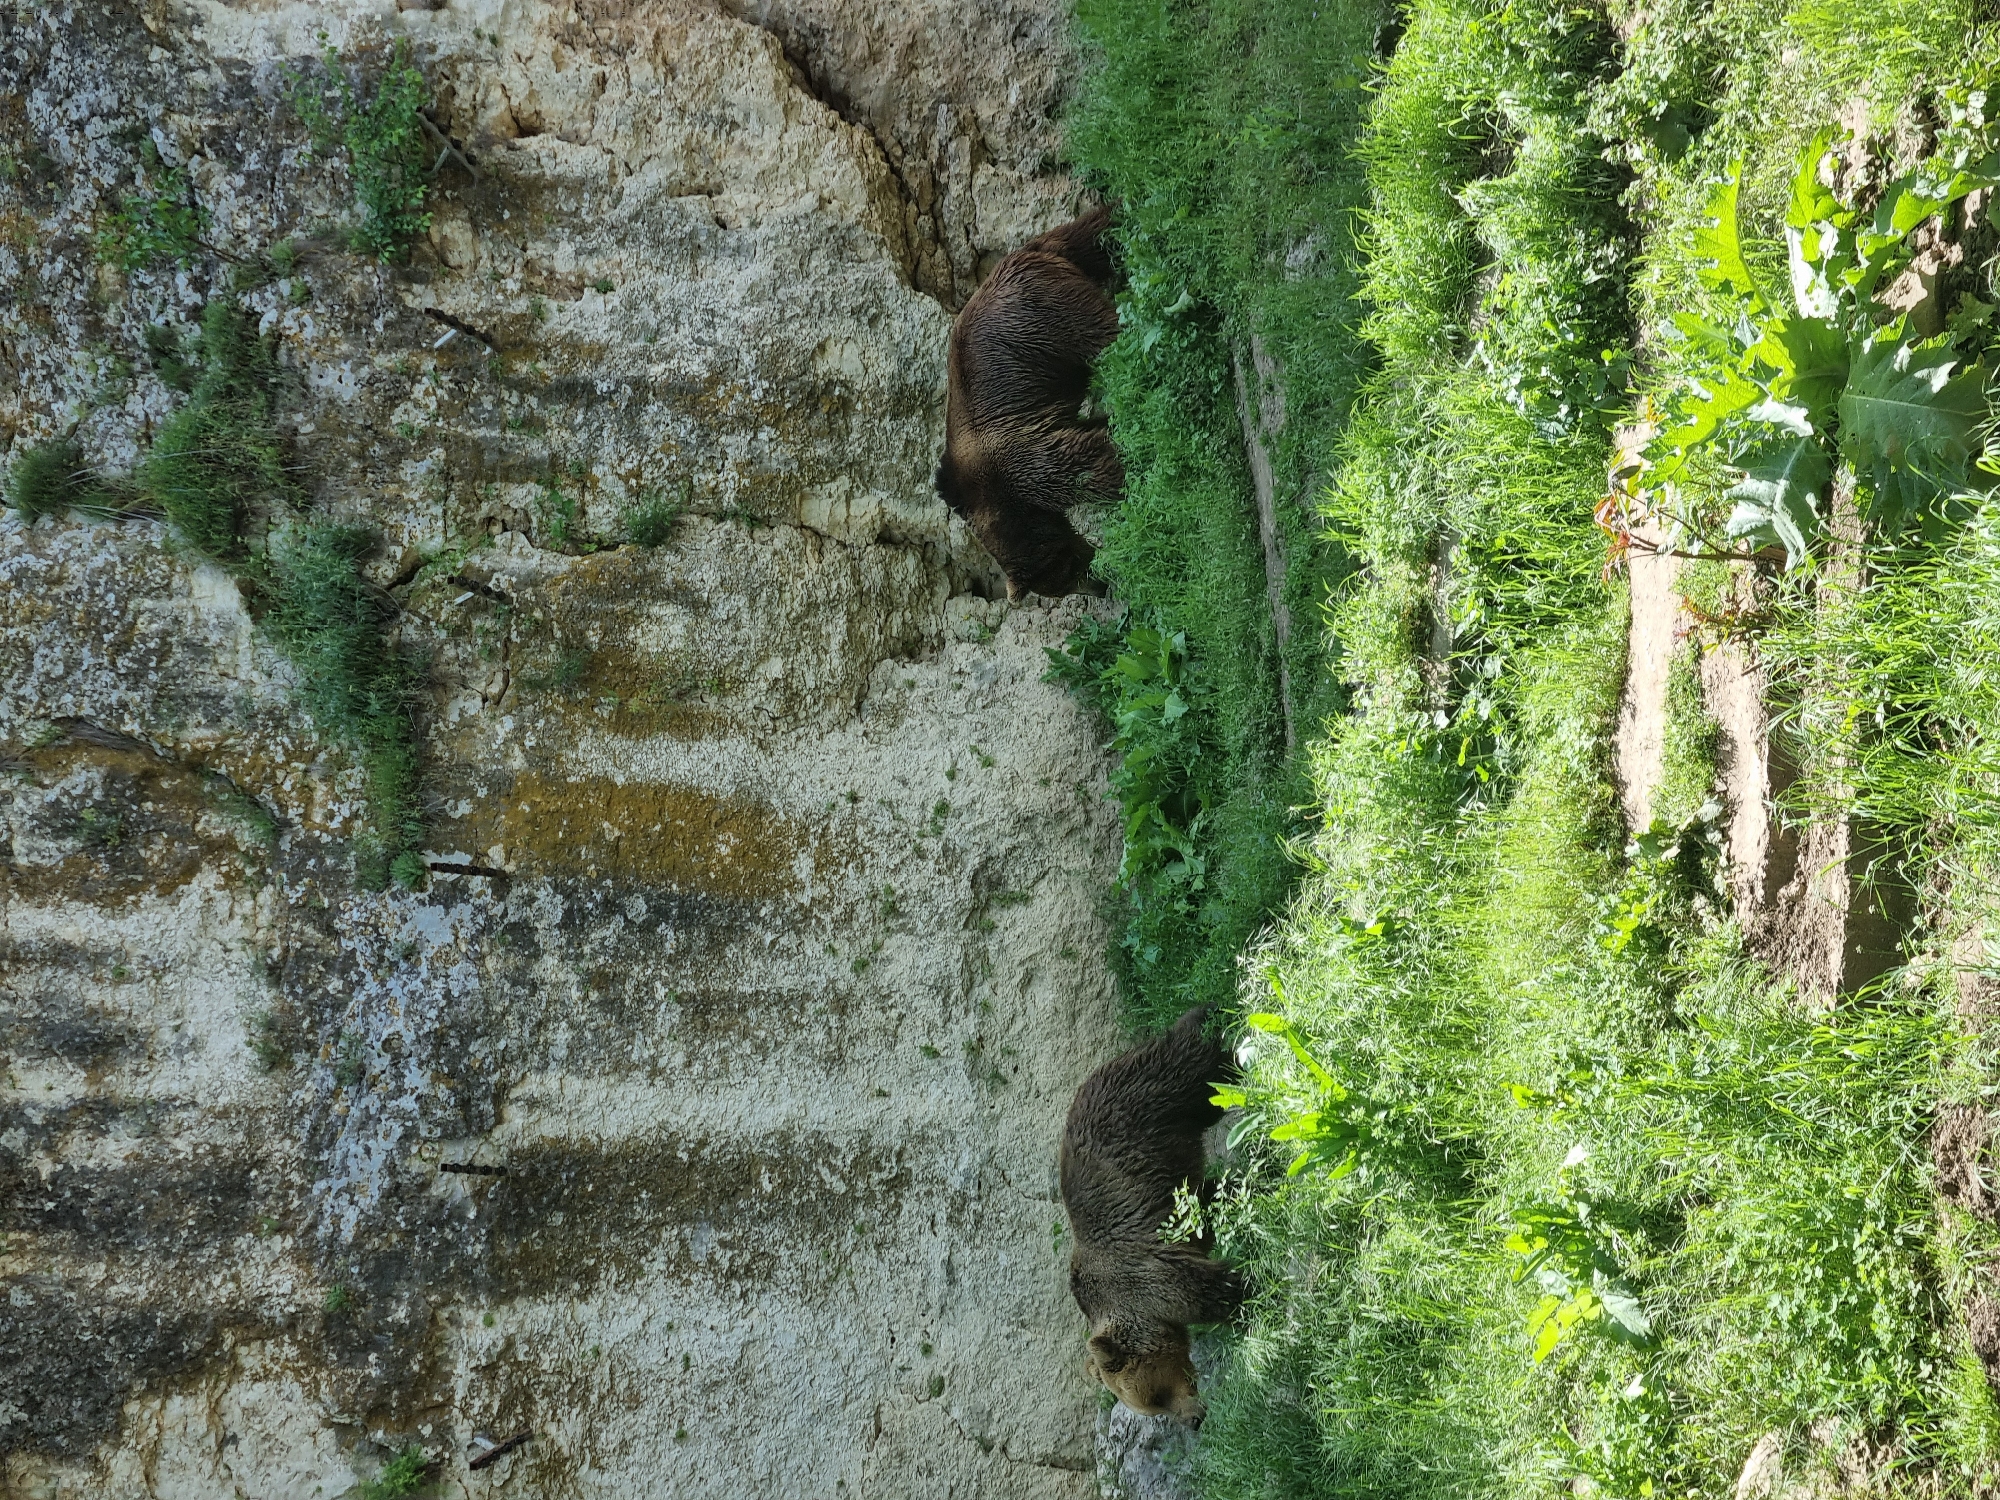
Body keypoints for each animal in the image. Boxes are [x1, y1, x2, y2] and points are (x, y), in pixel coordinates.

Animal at [935, 204, 1124, 601]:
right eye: (1069, 582)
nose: (1100, 587)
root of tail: (1021, 253)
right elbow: (1091, 433)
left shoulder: (1013, 461)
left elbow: (1083, 462)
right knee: (1095, 237)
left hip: (1044, 319)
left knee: (1105, 332)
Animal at [1060, 1005, 1243, 1427]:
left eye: (1154, 1397)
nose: (1193, 1419)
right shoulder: (1174, 1221)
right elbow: (1210, 1206)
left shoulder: (1142, 1275)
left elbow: (1209, 1289)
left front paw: (1244, 1294)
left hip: (1155, 1098)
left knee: (1201, 1063)